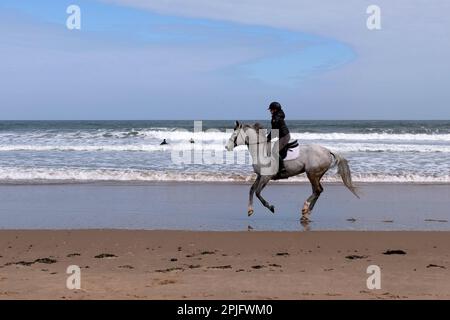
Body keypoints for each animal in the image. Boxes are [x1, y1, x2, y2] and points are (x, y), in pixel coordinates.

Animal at [225, 121, 358, 221]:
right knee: (317, 191)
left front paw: (271, 207)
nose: (227, 147)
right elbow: (251, 190)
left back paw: (305, 208)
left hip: (312, 174)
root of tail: (327, 151)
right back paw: (306, 213)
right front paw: (250, 210)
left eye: (234, 134)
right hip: (316, 175)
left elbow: (258, 193)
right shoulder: (259, 176)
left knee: (318, 190)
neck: (260, 151)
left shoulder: (266, 177)